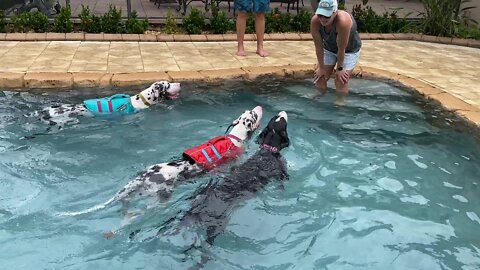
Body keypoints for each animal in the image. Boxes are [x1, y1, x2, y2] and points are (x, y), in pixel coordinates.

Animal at [59, 106, 266, 219]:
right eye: (253, 116)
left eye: (249, 113)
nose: (259, 107)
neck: (234, 137)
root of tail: (144, 176)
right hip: (160, 196)